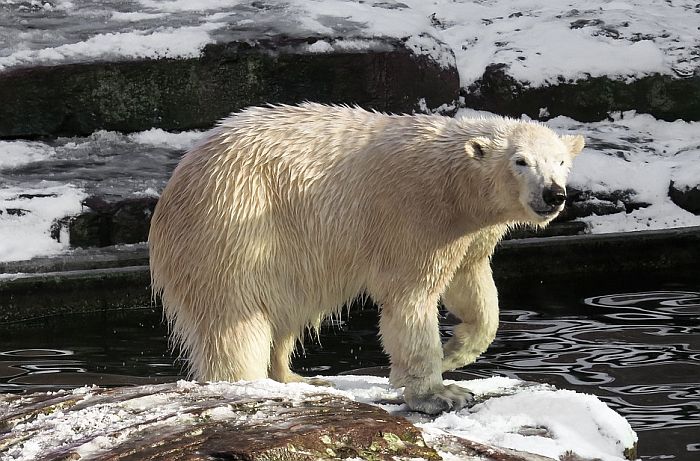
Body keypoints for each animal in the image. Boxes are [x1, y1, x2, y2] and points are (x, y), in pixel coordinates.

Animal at [149, 103, 584, 414]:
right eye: (521, 161)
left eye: (561, 161)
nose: (553, 194)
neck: (454, 186)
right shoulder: (414, 217)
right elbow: (410, 300)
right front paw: (440, 393)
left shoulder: (468, 234)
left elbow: (471, 287)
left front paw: (453, 353)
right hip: (235, 227)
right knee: (237, 321)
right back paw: (247, 383)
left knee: (286, 310)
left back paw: (296, 378)